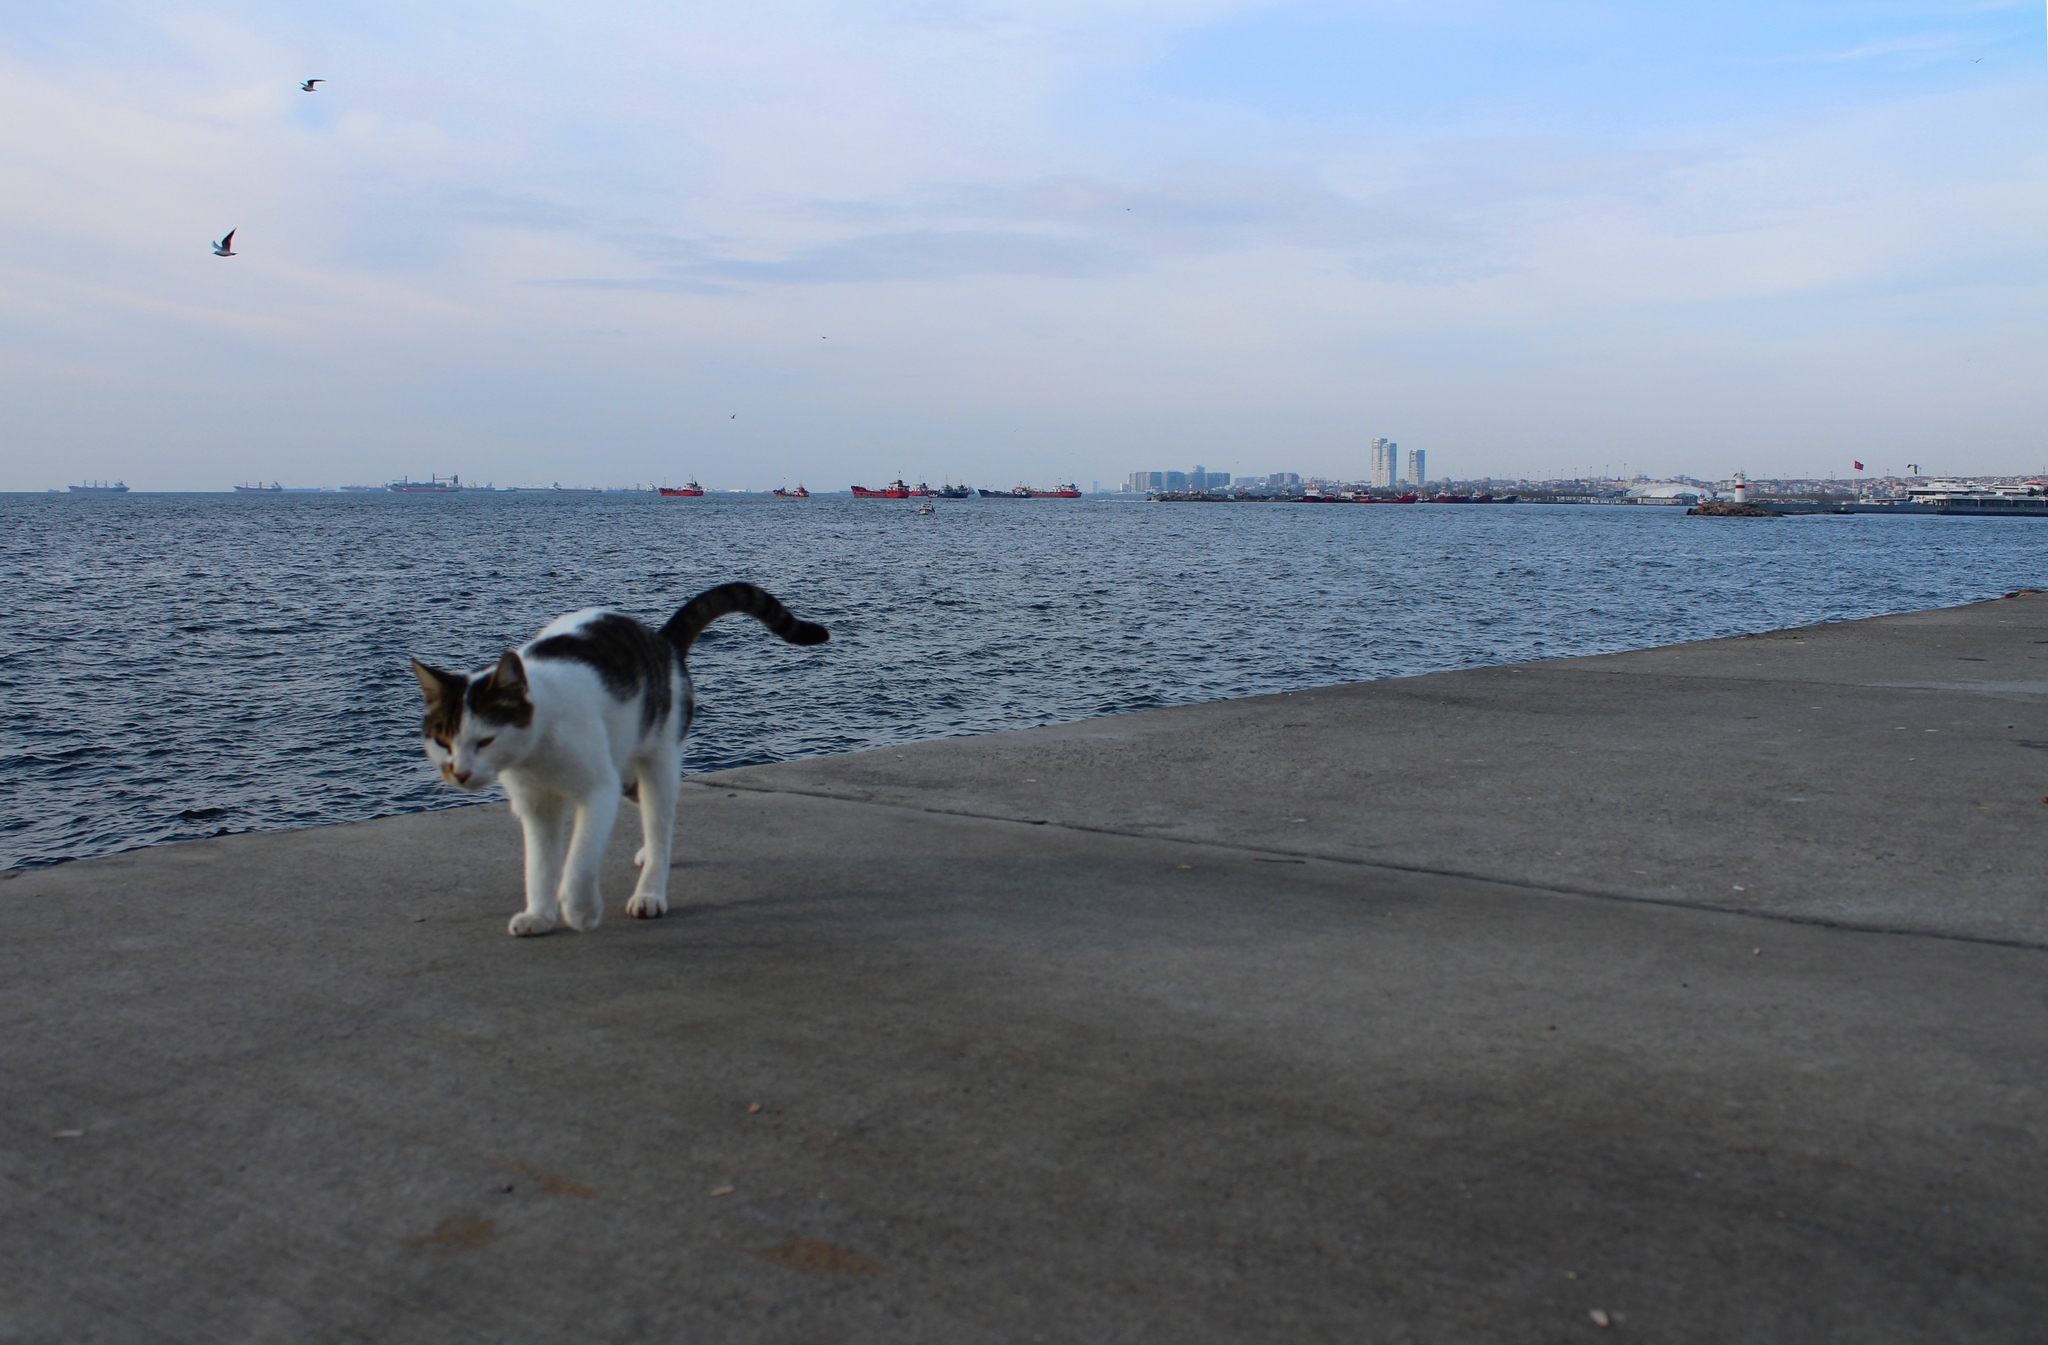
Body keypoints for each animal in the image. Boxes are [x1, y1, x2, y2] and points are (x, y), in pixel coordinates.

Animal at [411, 581, 827, 937]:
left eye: (485, 740)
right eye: (442, 741)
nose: (459, 774)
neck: (537, 750)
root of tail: (660, 640)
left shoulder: (598, 792)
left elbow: (579, 862)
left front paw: (580, 911)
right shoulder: (535, 806)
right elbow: (539, 866)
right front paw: (539, 915)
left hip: (657, 760)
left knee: (660, 820)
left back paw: (650, 891)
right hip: (629, 772)